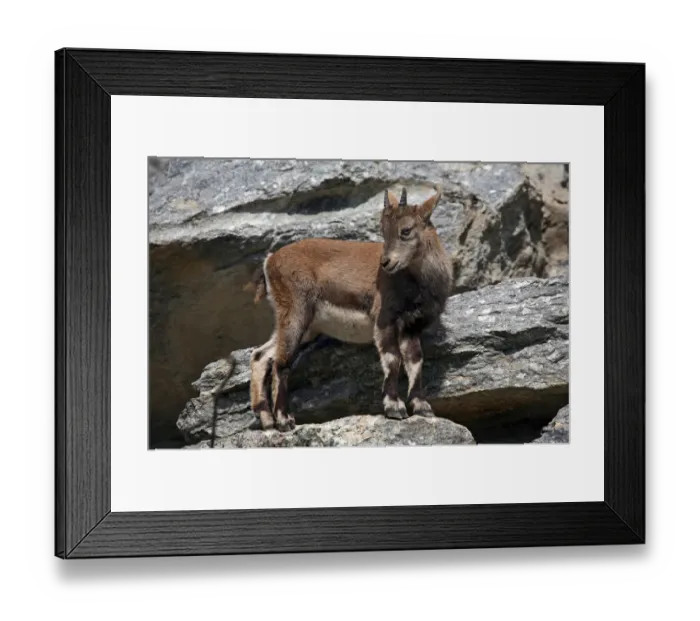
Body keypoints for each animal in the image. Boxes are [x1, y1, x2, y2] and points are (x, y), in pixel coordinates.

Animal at [247, 185, 453, 432]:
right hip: (296, 311)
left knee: (261, 355)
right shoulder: (385, 318)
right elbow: (392, 359)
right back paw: (284, 420)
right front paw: (394, 407)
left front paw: (421, 406)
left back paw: (266, 419)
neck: (418, 282)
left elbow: (415, 361)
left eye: (405, 230)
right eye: (383, 231)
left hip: (305, 326)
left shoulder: (412, 325)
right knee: (280, 362)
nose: (385, 262)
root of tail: (269, 261)